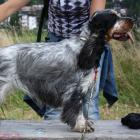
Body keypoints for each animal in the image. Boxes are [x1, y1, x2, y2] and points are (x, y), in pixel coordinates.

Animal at [0, 9, 133, 132]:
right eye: (113, 17)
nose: (132, 20)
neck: (84, 46)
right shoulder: (76, 90)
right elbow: (77, 110)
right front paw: (81, 126)